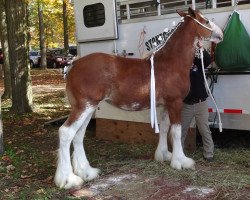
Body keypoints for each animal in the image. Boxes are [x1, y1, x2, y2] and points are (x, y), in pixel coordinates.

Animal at [54, 8, 223, 189]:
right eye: (206, 21)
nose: (220, 34)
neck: (171, 63)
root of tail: (74, 64)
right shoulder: (175, 102)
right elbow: (176, 131)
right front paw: (181, 161)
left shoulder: (165, 105)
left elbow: (164, 128)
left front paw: (164, 155)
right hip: (84, 107)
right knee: (66, 133)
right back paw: (68, 179)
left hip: (89, 108)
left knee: (78, 135)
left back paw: (87, 172)